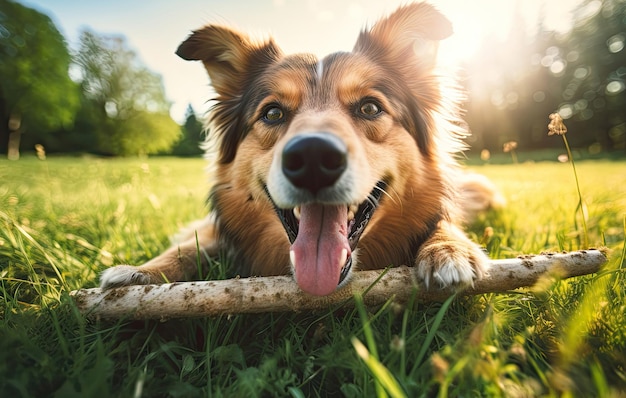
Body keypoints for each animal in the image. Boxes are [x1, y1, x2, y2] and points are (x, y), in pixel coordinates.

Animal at [100, 2, 498, 296]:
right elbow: (193, 244)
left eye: (370, 108)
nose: (313, 159)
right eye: (273, 113)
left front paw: (450, 250)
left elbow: (443, 222)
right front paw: (140, 271)